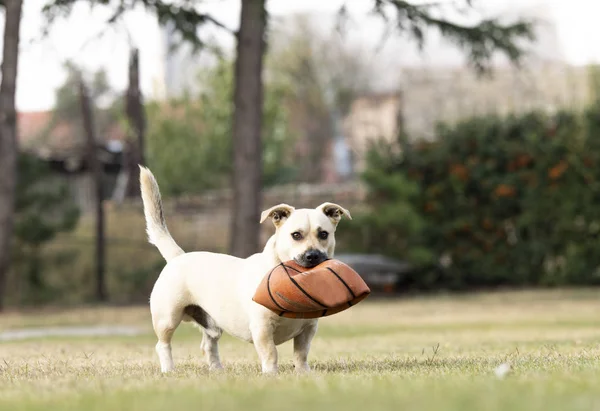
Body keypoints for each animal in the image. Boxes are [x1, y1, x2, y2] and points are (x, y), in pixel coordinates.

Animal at [139, 166, 352, 374]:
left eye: (323, 234)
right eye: (296, 235)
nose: (313, 255)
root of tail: (178, 256)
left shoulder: (308, 329)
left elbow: (301, 353)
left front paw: (303, 373)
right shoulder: (262, 328)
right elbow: (271, 353)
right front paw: (271, 374)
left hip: (211, 323)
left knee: (208, 345)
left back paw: (217, 370)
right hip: (167, 318)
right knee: (163, 345)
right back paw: (169, 370)